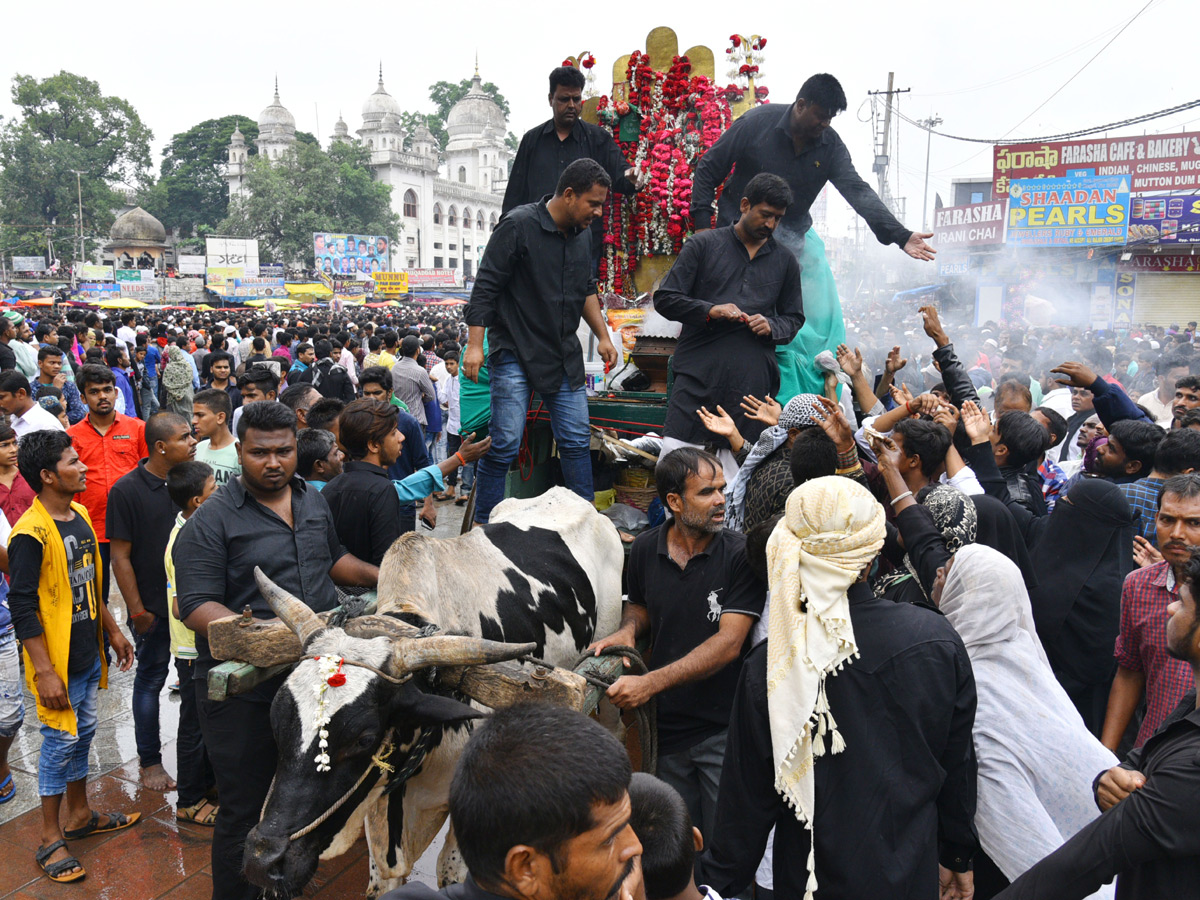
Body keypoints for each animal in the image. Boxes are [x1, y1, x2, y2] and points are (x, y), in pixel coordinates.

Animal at [238, 489, 624, 900]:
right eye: (276, 720)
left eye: (364, 738)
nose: (263, 861)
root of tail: (570, 496)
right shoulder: (381, 813)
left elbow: (451, 871)